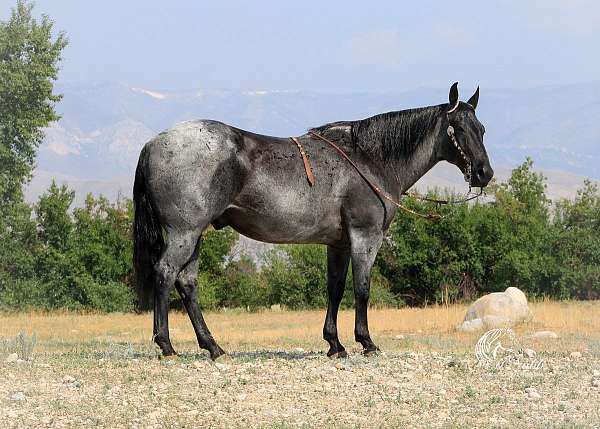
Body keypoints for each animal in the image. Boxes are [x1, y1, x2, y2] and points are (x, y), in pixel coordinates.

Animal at [132, 82, 492, 360]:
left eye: (482, 129)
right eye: (459, 129)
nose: (484, 173)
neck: (369, 160)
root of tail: (152, 143)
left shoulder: (339, 244)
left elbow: (335, 288)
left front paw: (335, 344)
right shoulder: (365, 236)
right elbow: (362, 288)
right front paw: (366, 342)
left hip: (195, 235)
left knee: (187, 283)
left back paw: (213, 347)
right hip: (185, 233)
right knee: (165, 273)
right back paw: (166, 345)